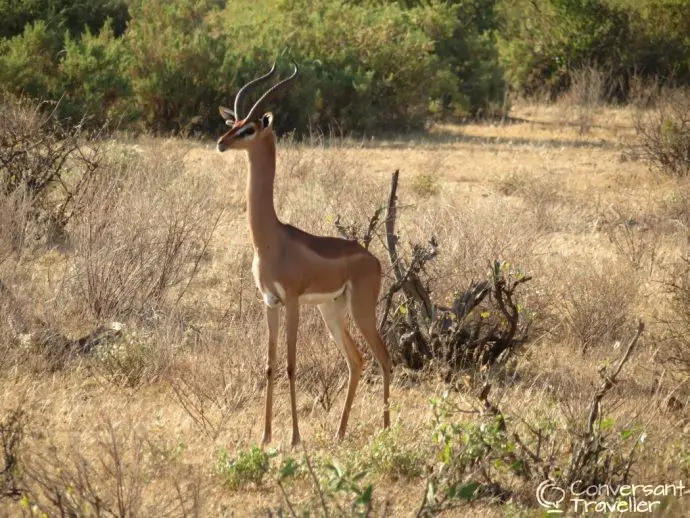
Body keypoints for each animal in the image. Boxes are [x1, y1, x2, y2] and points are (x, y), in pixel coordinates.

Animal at [218, 64, 392, 446]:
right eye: (233, 123)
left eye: (250, 128)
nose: (221, 142)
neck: (272, 240)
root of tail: (372, 259)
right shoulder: (269, 302)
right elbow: (270, 365)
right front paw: (266, 437)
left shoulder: (293, 302)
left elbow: (290, 364)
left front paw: (295, 438)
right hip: (332, 311)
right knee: (357, 360)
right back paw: (340, 433)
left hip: (361, 311)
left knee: (384, 358)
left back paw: (388, 431)